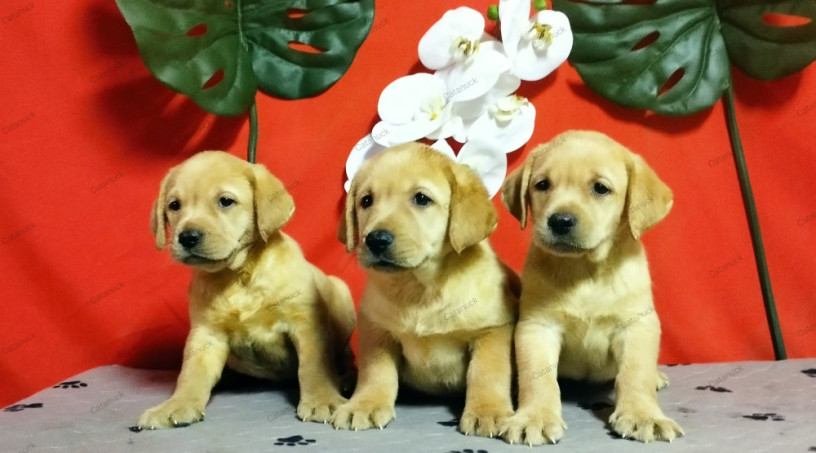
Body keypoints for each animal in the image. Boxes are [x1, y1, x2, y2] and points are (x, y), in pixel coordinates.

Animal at [136, 151, 354, 428]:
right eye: (174, 206)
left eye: (225, 201)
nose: (187, 237)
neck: (238, 275)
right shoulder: (206, 334)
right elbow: (191, 373)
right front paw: (177, 404)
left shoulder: (306, 323)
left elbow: (313, 366)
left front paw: (322, 399)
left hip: (342, 299)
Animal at [330, 143, 516, 436]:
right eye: (366, 201)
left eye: (421, 199)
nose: (376, 239)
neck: (420, 288)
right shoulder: (376, 330)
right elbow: (376, 373)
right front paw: (365, 404)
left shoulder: (492, 330)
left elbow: (487, 373)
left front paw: (488, 411)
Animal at [500, 130, 680, 442]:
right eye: (542, 185)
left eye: (600, 188)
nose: (560, 221)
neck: (584, 270)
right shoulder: (537, 326)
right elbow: (538, 377)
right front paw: (534, 417)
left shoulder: (637, 324)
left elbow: (635, 373)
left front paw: (643, 416)